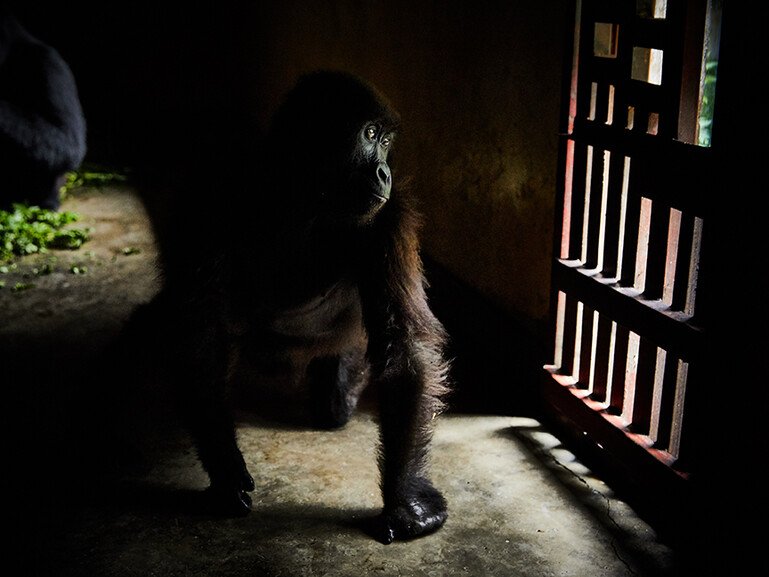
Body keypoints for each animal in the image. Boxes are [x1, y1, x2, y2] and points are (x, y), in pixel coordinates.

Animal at [140, 70, 450, 544]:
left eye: (384, 141)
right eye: (370, 135)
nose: (385, 171)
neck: (302, 198)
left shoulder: (391, 215)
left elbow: (405, 346)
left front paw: (405, 501)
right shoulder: (210, 202)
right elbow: (199, 330)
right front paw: (224, 467)